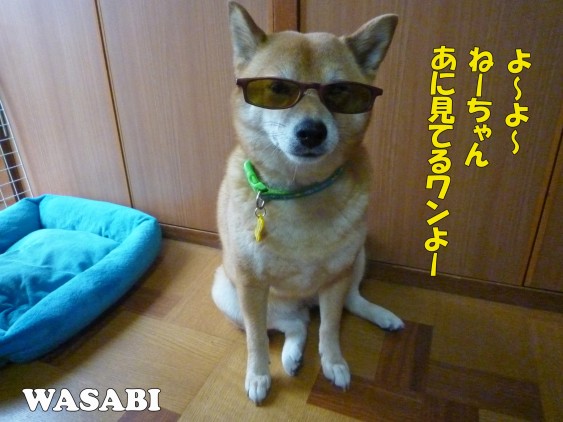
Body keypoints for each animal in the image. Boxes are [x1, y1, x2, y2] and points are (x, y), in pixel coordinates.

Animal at [212, 1, 403, 404]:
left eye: (341, 92)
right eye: (276, 89)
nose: (312, 132)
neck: (298, 191)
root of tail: (304, 302)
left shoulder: (336, 277)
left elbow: (330, 328)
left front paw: (333, 362)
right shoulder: (250, 286)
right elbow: (256, 340)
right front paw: (258, 374)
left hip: (357, 257)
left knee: (349, 302)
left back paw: (381, 316)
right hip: (229, 292)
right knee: (294, 325)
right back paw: (291, 355)